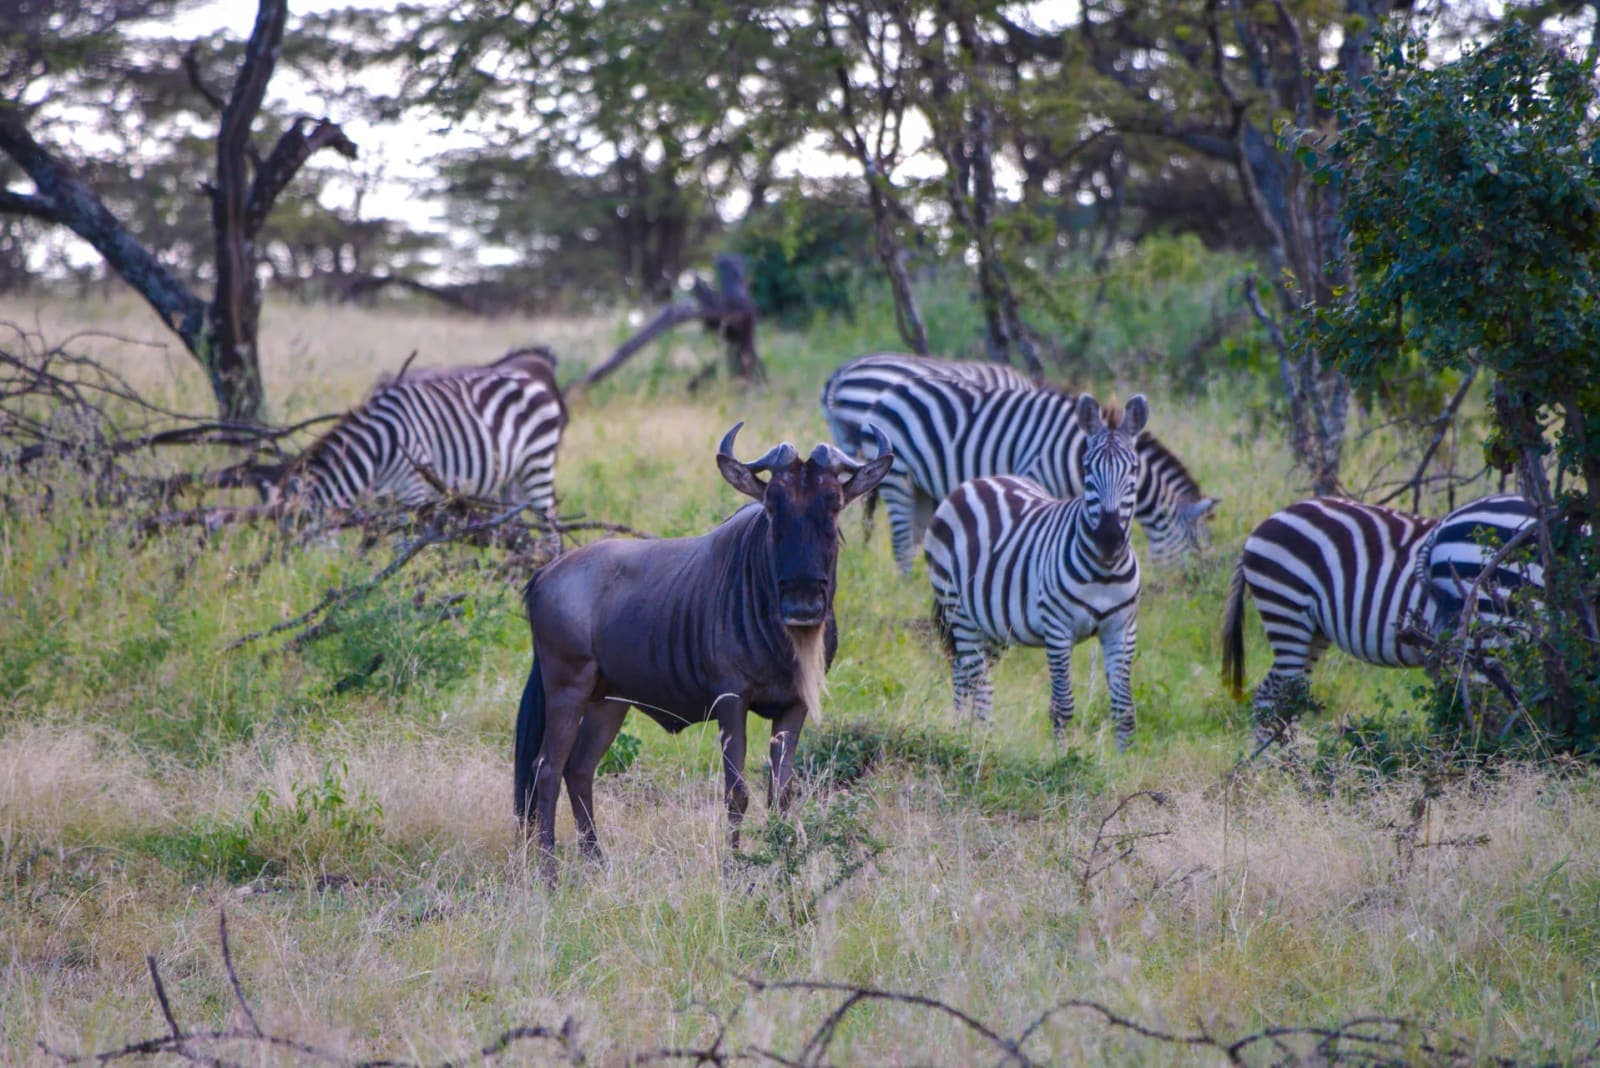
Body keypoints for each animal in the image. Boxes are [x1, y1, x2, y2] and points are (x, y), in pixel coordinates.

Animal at [280, 348, 567, 533]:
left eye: (296, 538)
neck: (379, 449)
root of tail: (534, 381)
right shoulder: (385, 497)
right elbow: (375, 536)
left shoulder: (413, 487)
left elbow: (409, 537)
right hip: (513, 474)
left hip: (538, 461)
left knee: (550, 520)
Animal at [866, 376, 1215, 574]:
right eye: (1195, 554)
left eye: (1132, 469)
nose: (1190, 593)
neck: (1073, 450)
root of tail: (891, 391)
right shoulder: (1037, 475)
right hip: (898, 478)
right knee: (901, 543)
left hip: (922, 487)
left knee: (914, 539)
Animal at [924, 394, 1146, 750]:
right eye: (1087, 469)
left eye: (1134, 470)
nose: (1109, 538)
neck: (1105, 570)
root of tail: (979, 480)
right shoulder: (1057, 628)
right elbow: (1062, 705)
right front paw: (1062, 756)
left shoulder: (1122, 629)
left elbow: (1124, 709)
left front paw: (1125, 760)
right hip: (958, 607)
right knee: (975, 676)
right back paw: (979, 739)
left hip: (992, 623)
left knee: (964, 671)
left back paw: (964, 732)